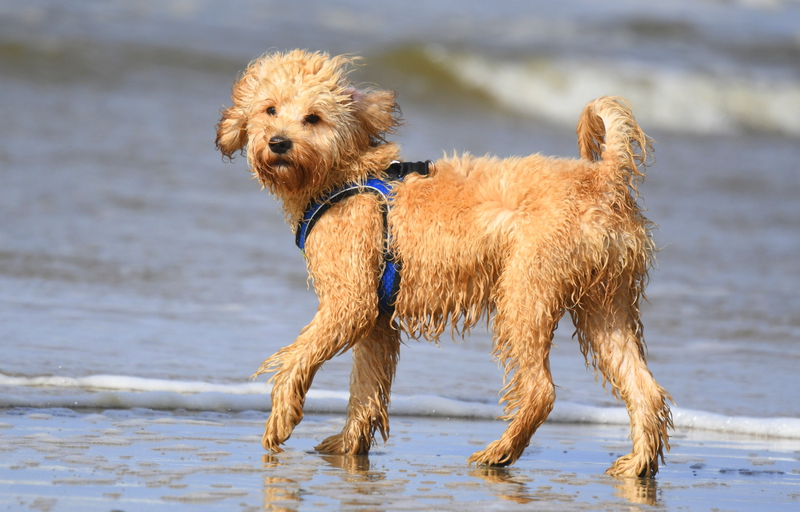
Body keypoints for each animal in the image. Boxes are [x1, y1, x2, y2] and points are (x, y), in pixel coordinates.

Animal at [215, 49, 672, 477]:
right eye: (270, 109)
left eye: (313, 117)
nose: (278, 142)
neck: (343, 177)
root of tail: (606, 178)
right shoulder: (378, 321)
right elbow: (366, 386)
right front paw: (347, 444)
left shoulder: (352, 301)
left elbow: (298, 357)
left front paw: (281, 418)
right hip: (606, 305)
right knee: (644, 388)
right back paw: (637, 462)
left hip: (525, 294)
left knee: (541, 391)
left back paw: (498, 452)